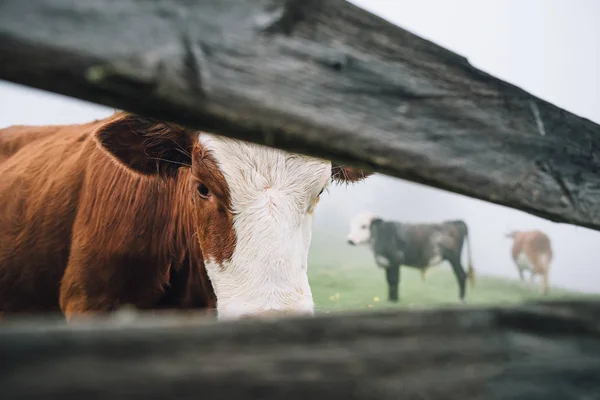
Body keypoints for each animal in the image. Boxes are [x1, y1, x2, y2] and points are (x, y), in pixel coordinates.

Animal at [344, 214, 476, 302]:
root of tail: (455, 222)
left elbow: (394, 280)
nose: (350, 240)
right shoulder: (388, 263)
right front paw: (390, 300)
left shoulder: (395, 260)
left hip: (454, 258)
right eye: (351, 225)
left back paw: (461, 299)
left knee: (461, 275)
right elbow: (389, 281)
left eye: (364, 226)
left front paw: (394, 301)